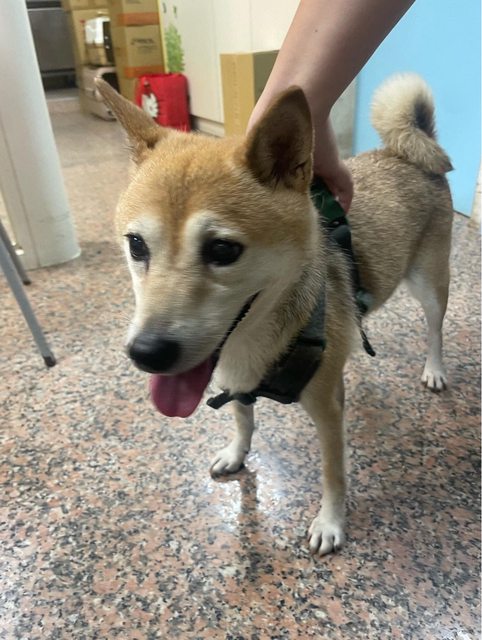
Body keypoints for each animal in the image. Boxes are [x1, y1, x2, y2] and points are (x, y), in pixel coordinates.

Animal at [96, 74, 453, 556]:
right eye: (136, 245)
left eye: (223, 250)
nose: (147, 353)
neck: (252, 343)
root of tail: (411, 151)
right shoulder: (234, 380)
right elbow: (242, 419)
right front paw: (236, 453)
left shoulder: (327, 413)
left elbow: (333, 474)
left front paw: (330, 523)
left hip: (429, 285)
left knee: (435, 330)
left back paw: (434, 369)